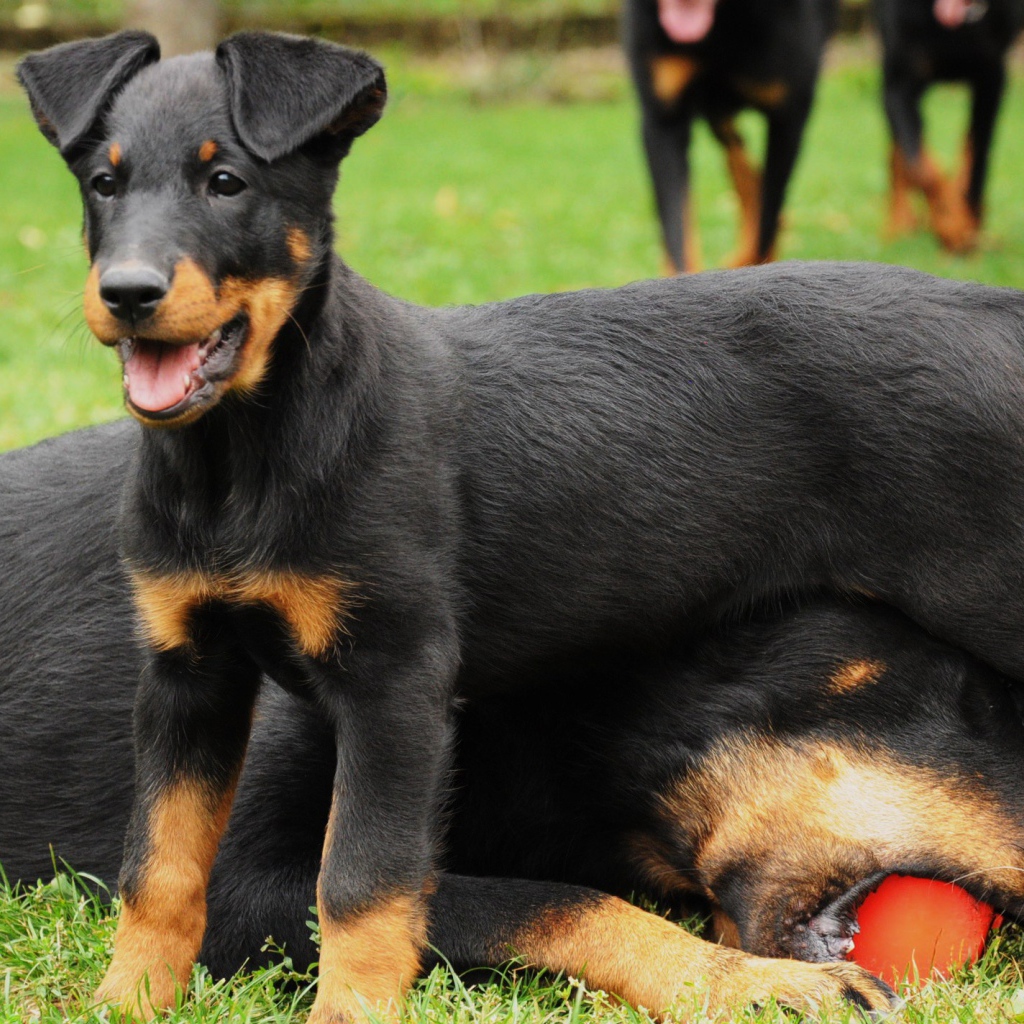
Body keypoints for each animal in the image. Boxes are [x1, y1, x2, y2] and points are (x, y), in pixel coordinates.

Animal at [618, 0, 835, 272]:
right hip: (715, 112)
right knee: (740, 162)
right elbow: (677, 231)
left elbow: (767, 220)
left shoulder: (789, 118)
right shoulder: (663, 120)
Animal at [872, 0, 1024, 251]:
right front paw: (950, 225)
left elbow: (976, 160)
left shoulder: (991, 80)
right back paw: (899, 222)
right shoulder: (897, 87)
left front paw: (967, 222)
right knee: (897, 156)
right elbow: (921, 169)